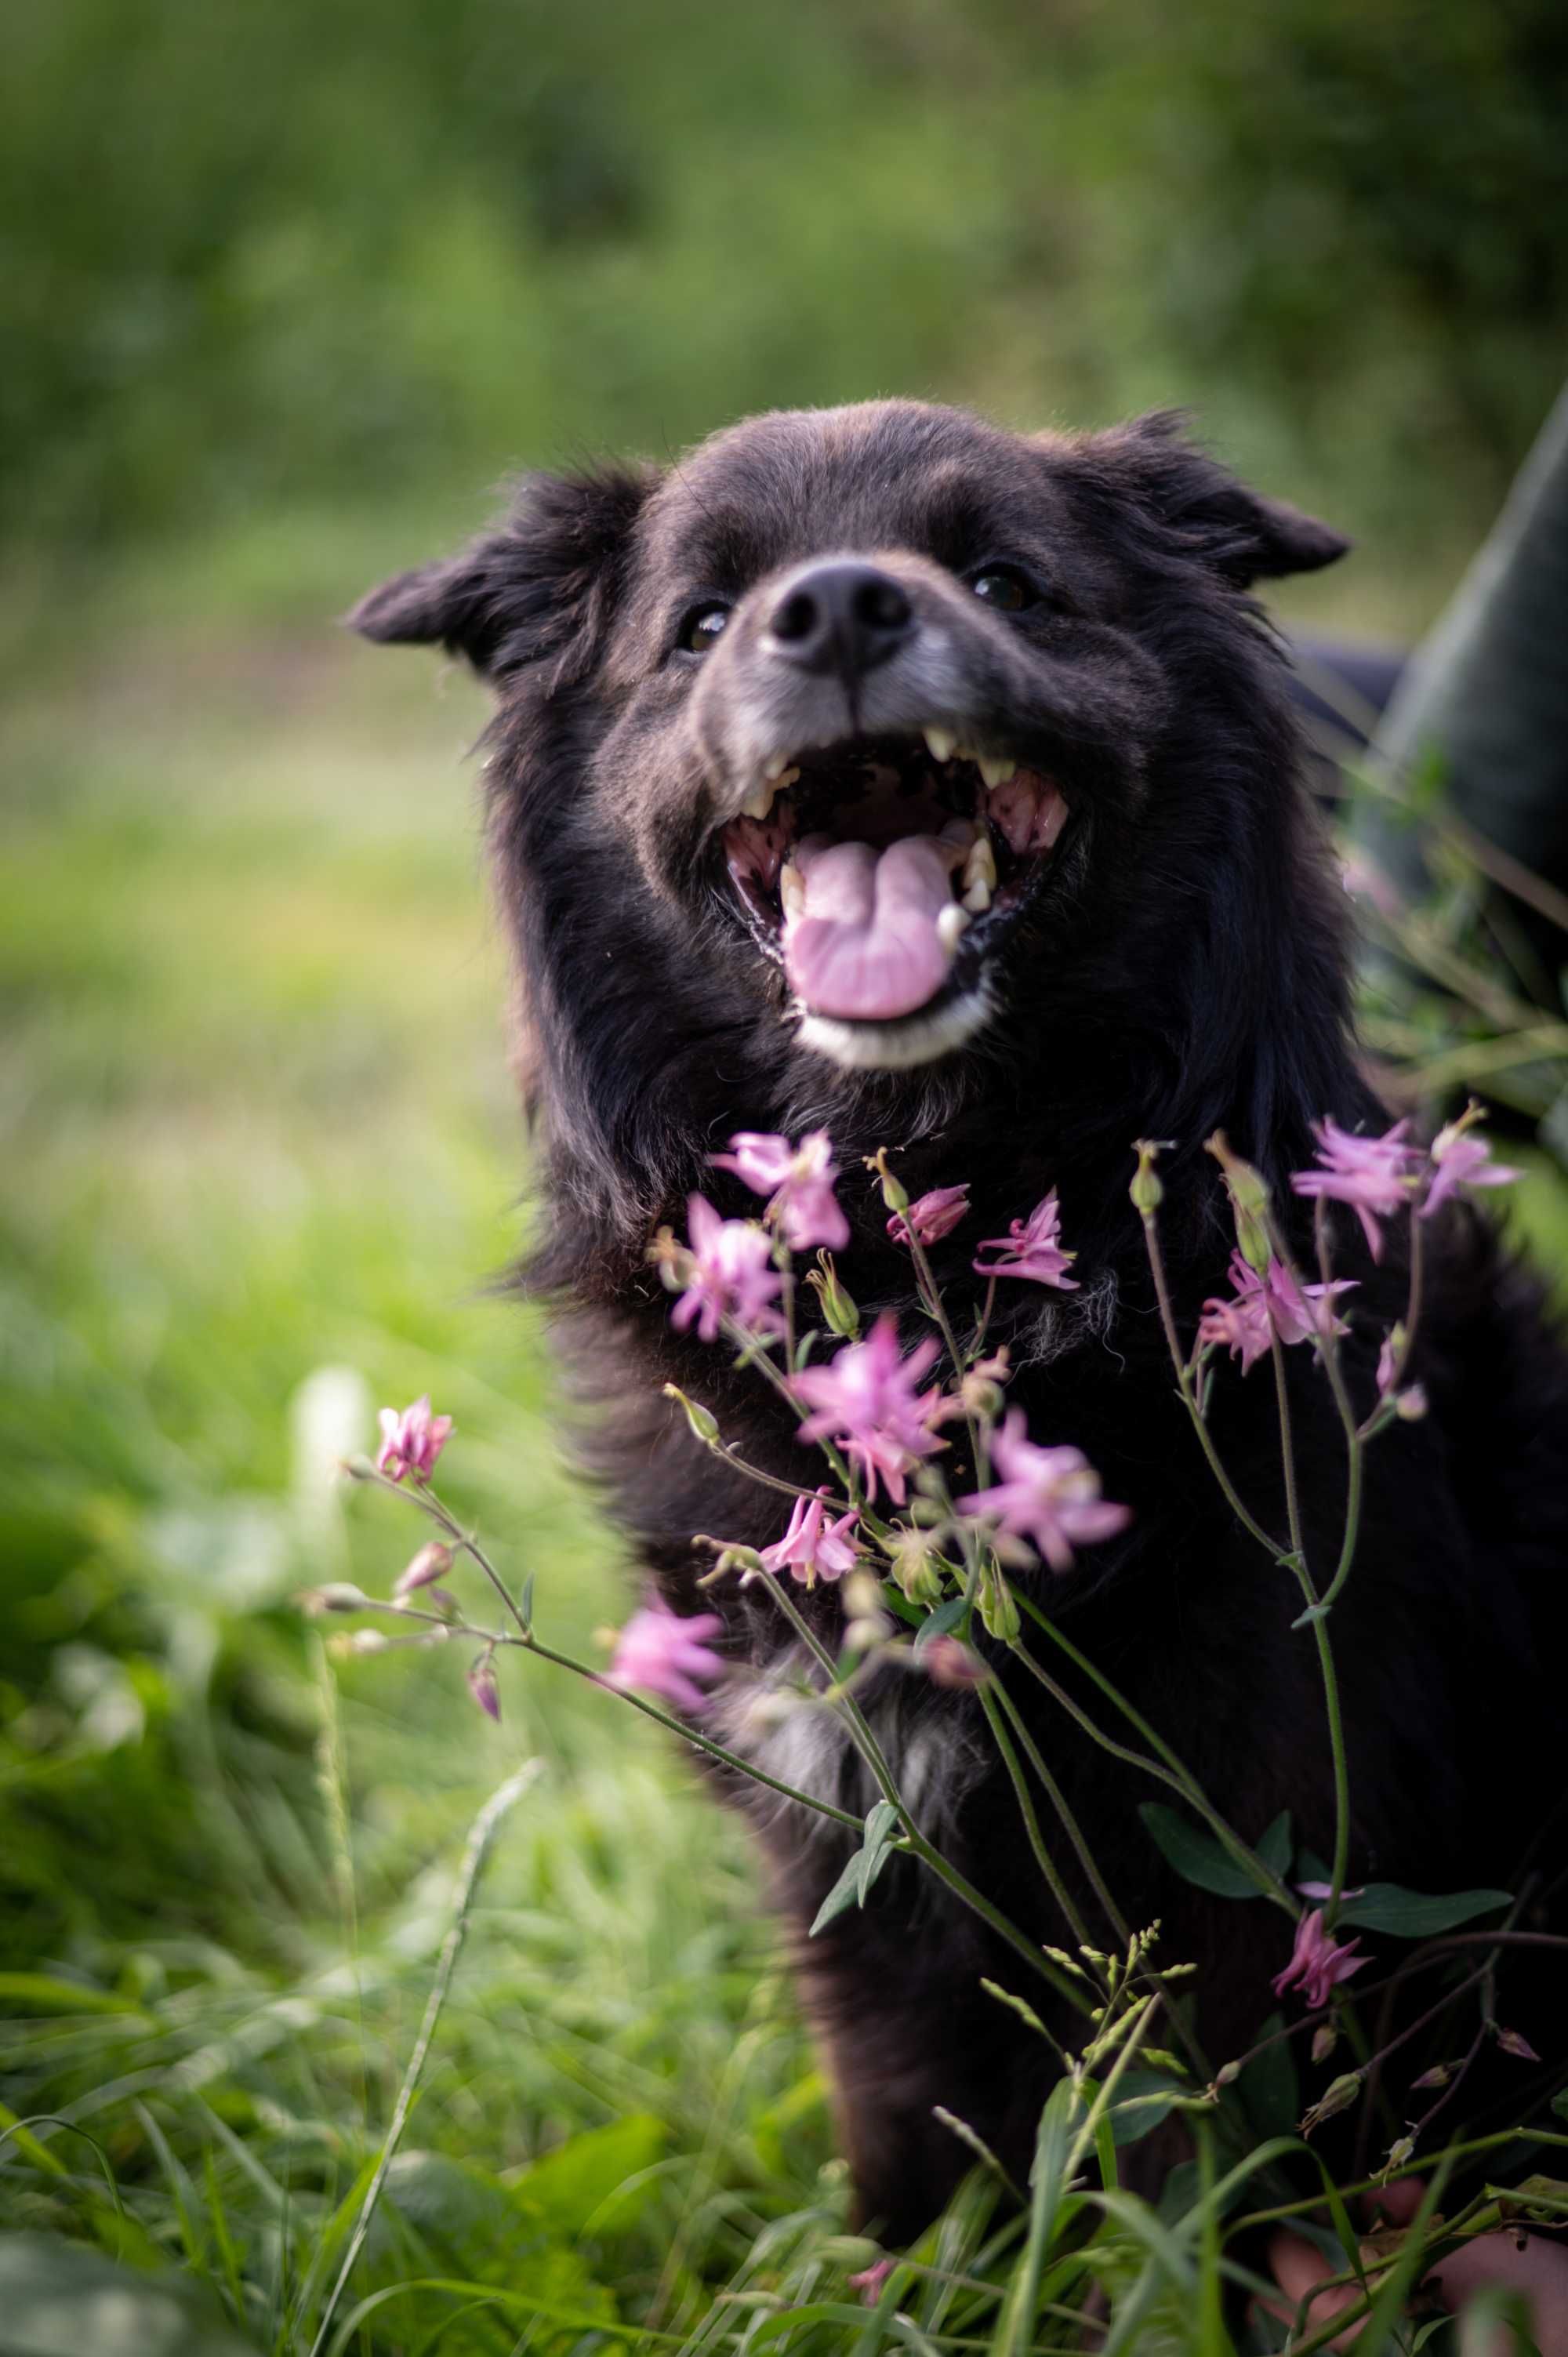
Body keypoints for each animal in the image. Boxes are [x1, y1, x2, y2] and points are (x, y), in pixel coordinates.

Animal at [354, 405, 1565, 2243]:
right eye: (701, 623)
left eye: (1005, 580)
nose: (840, 611)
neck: (934, 1215)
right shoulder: (842, 1827)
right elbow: (919, 2140)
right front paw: (922, 2279)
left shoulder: (1258, 1813)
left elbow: (1200, 2152)